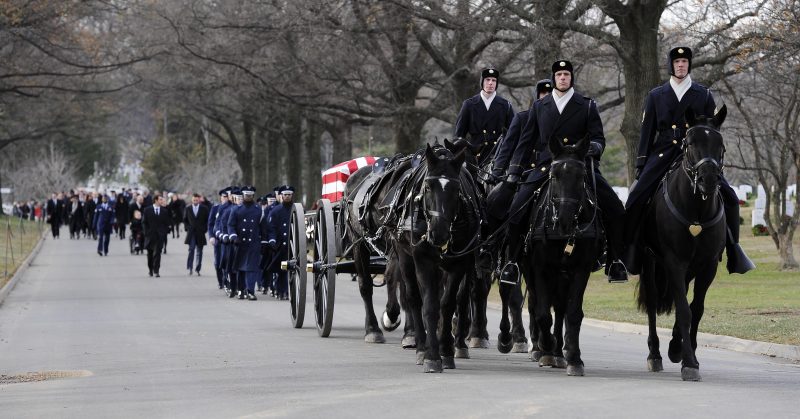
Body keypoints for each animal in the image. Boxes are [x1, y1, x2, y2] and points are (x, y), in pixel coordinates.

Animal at [520, 135, 604, 378]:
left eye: (582, 176)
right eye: (554, 175)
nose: (565, 220)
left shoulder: (580, 269)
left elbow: (572, 312)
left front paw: (573, 358)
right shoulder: (540, 268)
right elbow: (542, 313)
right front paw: (545, 347)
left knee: (559, 308)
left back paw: (558, 352)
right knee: (537, 304)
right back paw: (544, 348)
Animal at [636, 106, 728, 384]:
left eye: (720, 144)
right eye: (690, 143)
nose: (708, 179)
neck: (696, 210)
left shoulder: (708, 265)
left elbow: (694, 309)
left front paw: (684, 351)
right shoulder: (674, 262)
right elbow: (684, 310)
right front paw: (688, 362)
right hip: (650, 263)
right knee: (653, 304)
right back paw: (654, 354)